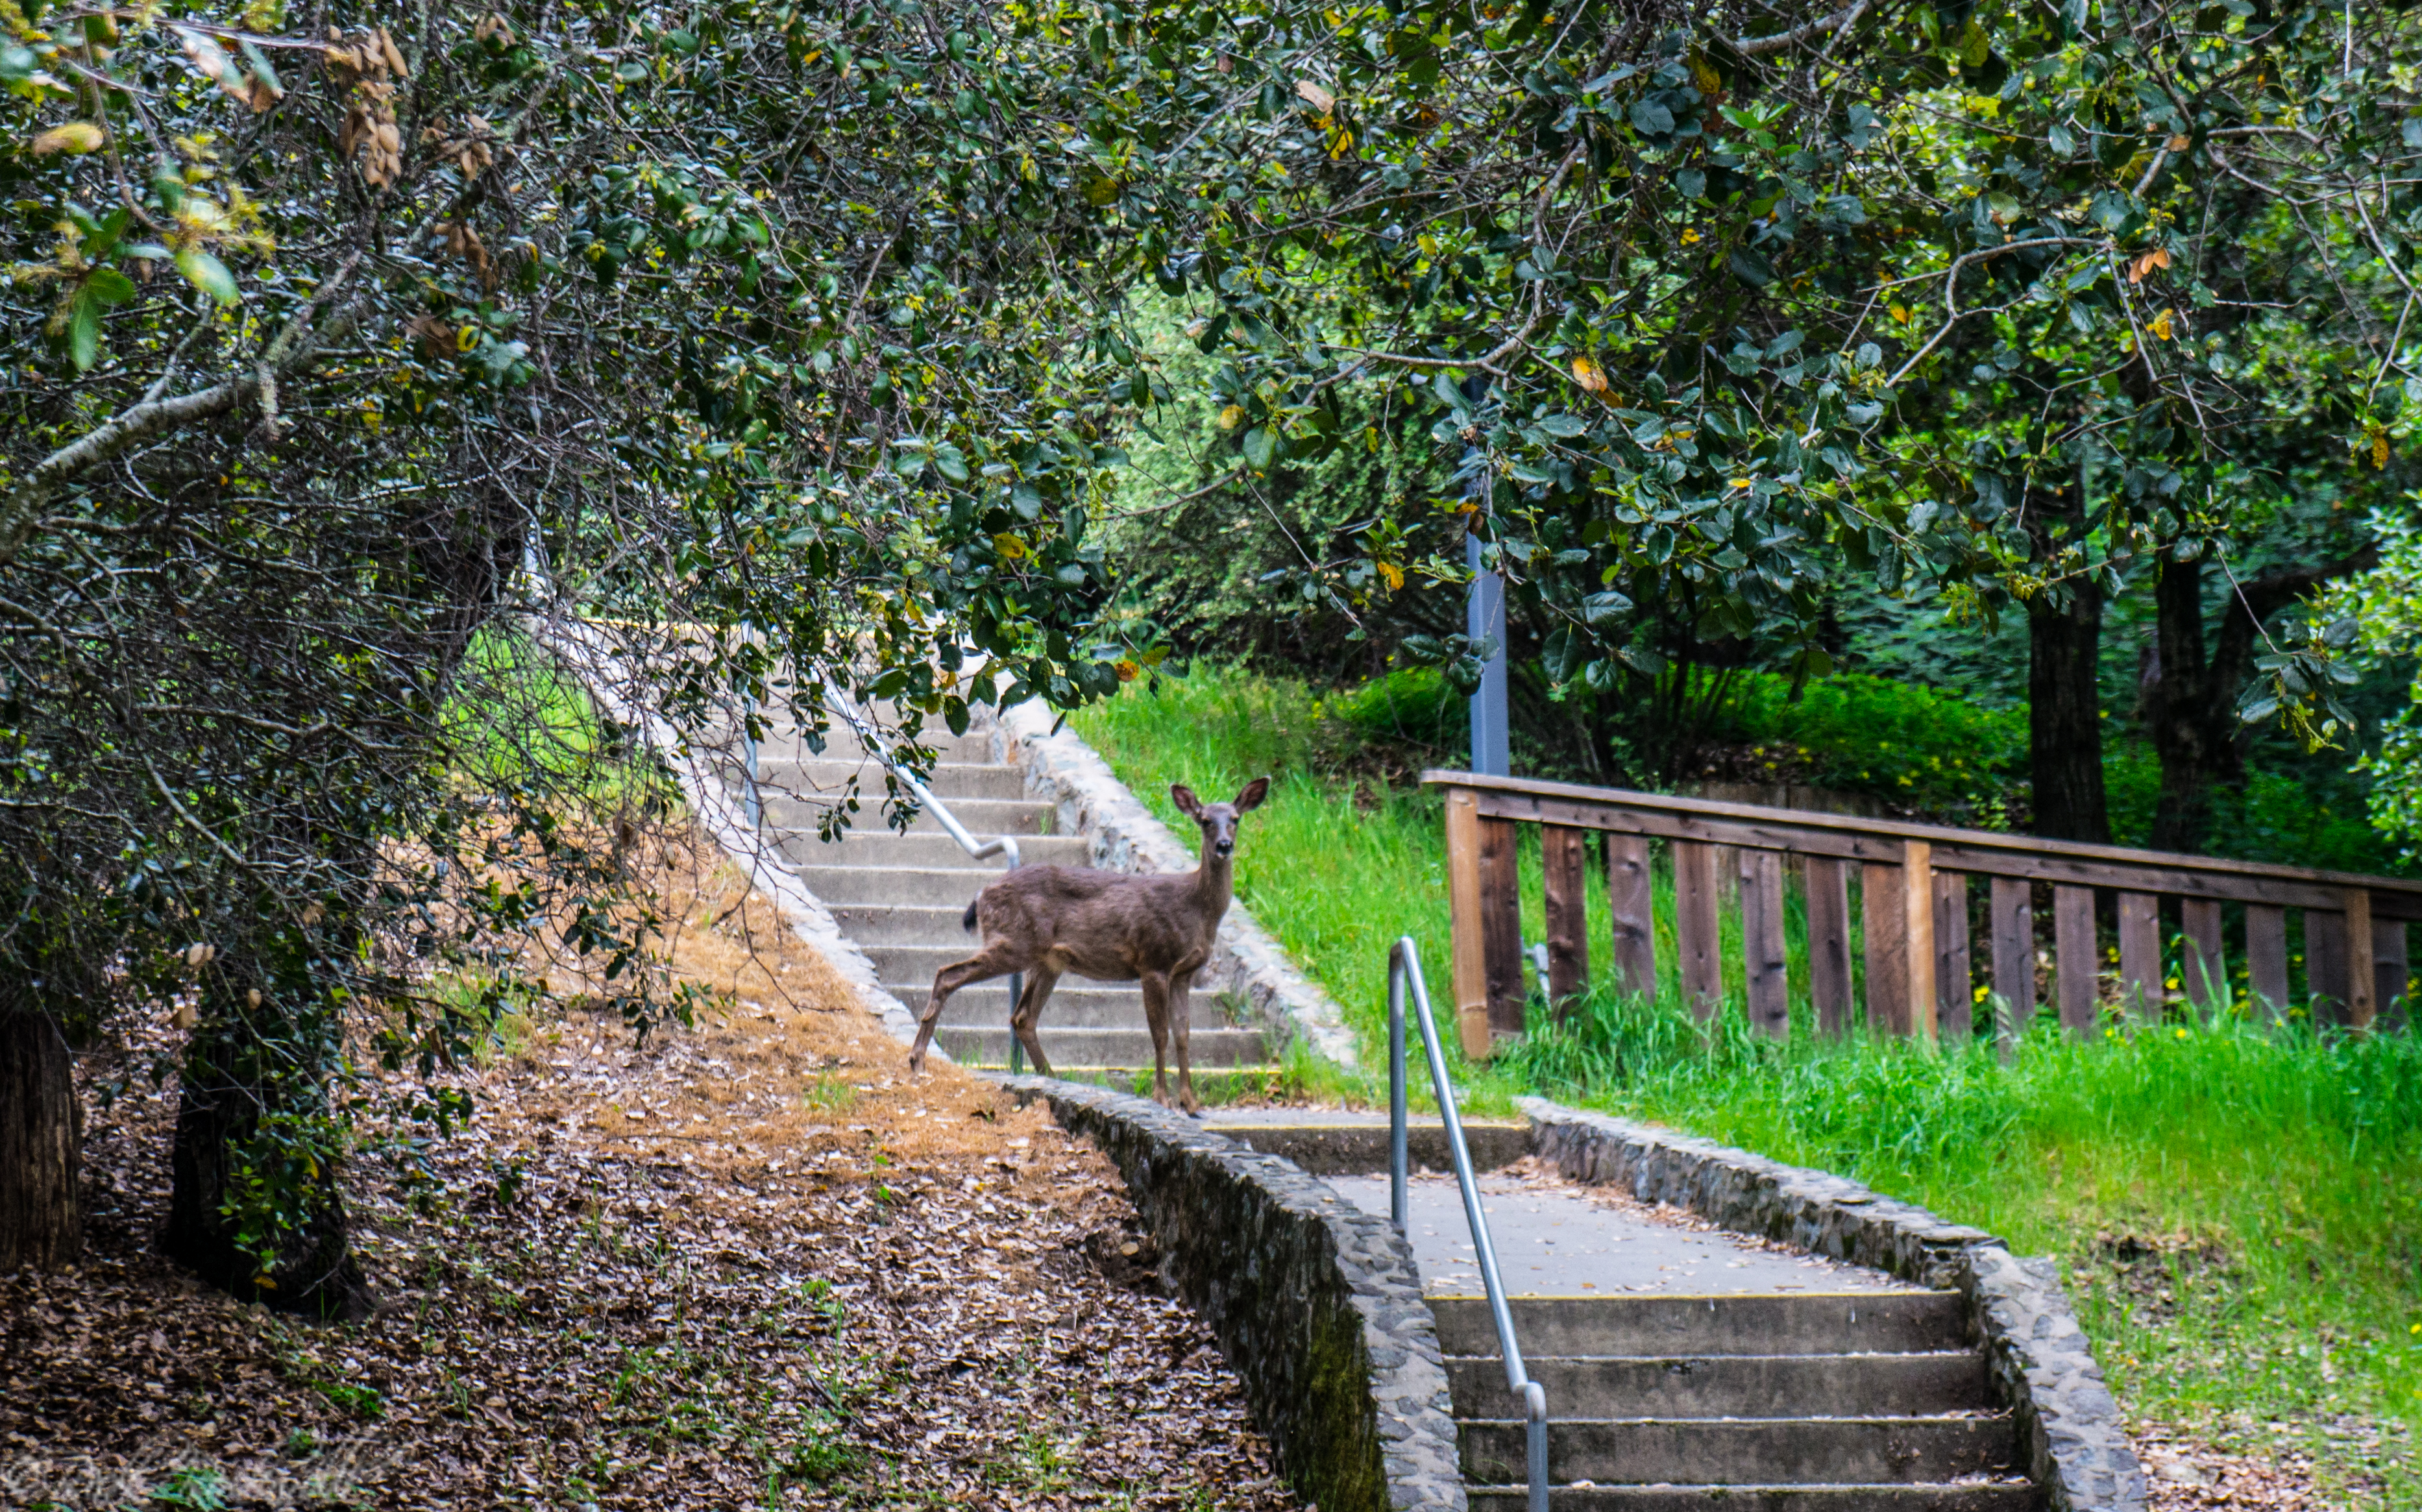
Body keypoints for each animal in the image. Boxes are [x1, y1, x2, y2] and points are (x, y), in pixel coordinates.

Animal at [911, 780, 1278, 1110]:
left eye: (1235, 818)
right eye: (1204, 820)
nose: (1224, 845)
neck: (1197, 910)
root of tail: (981, 895)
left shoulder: (1184, 973)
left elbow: (1184, 1034)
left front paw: (1191, 1103)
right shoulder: (1154, 962)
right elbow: (1160, 1033)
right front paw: (1163, 1099)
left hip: (1049, 961)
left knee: (1023, 1016)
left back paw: (1052, 1077)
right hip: (1014, 941)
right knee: (949, 973)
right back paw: (917, 1060)